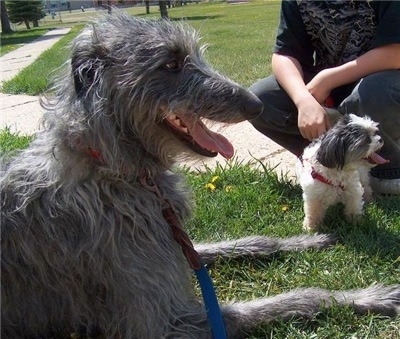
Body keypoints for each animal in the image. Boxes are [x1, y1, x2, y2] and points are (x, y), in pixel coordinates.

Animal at [2, 11, 400, 338]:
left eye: (192, 55)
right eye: (171, 62)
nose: (256, 105)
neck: (114, 169)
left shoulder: (175, 241)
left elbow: (256, 242)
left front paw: (304, 241)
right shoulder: (164, 322)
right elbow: (305, 296)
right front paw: (364, 296)